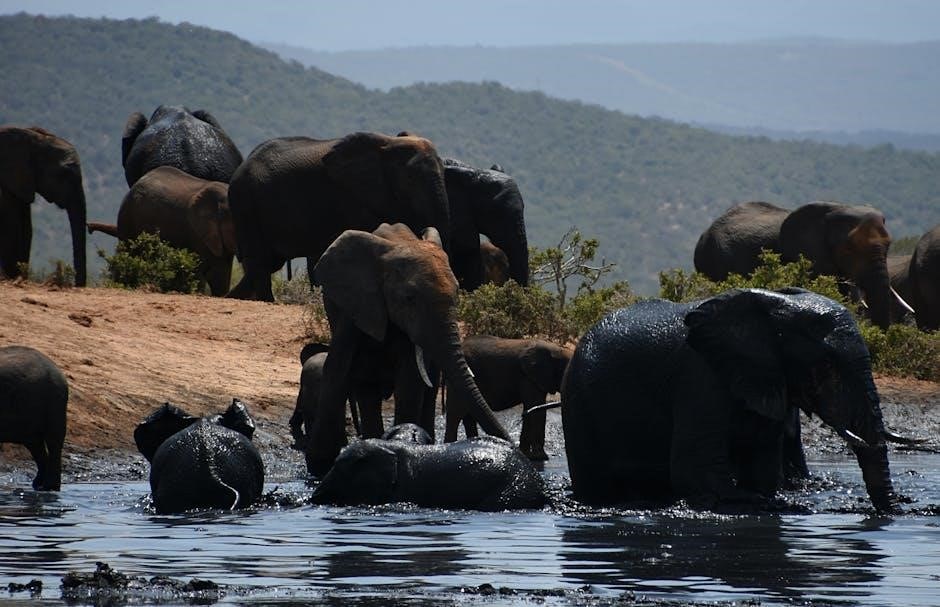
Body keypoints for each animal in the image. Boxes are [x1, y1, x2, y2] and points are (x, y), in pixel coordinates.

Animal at [0, 126, 87, 286]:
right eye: (64, 173)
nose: (78, 286)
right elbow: (12, 227)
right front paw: (12, 277)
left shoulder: (22, 182)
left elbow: (27, 229)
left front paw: (20, 277)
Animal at [226, 131, 451, 302]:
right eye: (410, 178)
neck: (387, 143)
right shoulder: (351, 197)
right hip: (245, 202)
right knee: (259, 262)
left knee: (267, 263)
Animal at [305, 223, 511, 476]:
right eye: (409, 298)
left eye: (457, 295)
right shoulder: (353, 305)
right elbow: (337, 367)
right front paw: (319, 465)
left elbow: (410, 380)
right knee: (365, 388)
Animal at [561, 287, 903, 512]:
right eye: (827, 364)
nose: (893, 513)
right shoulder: (700, 375)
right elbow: (696, 472)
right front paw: (756, 501)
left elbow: (762, 467)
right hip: (579, 403)